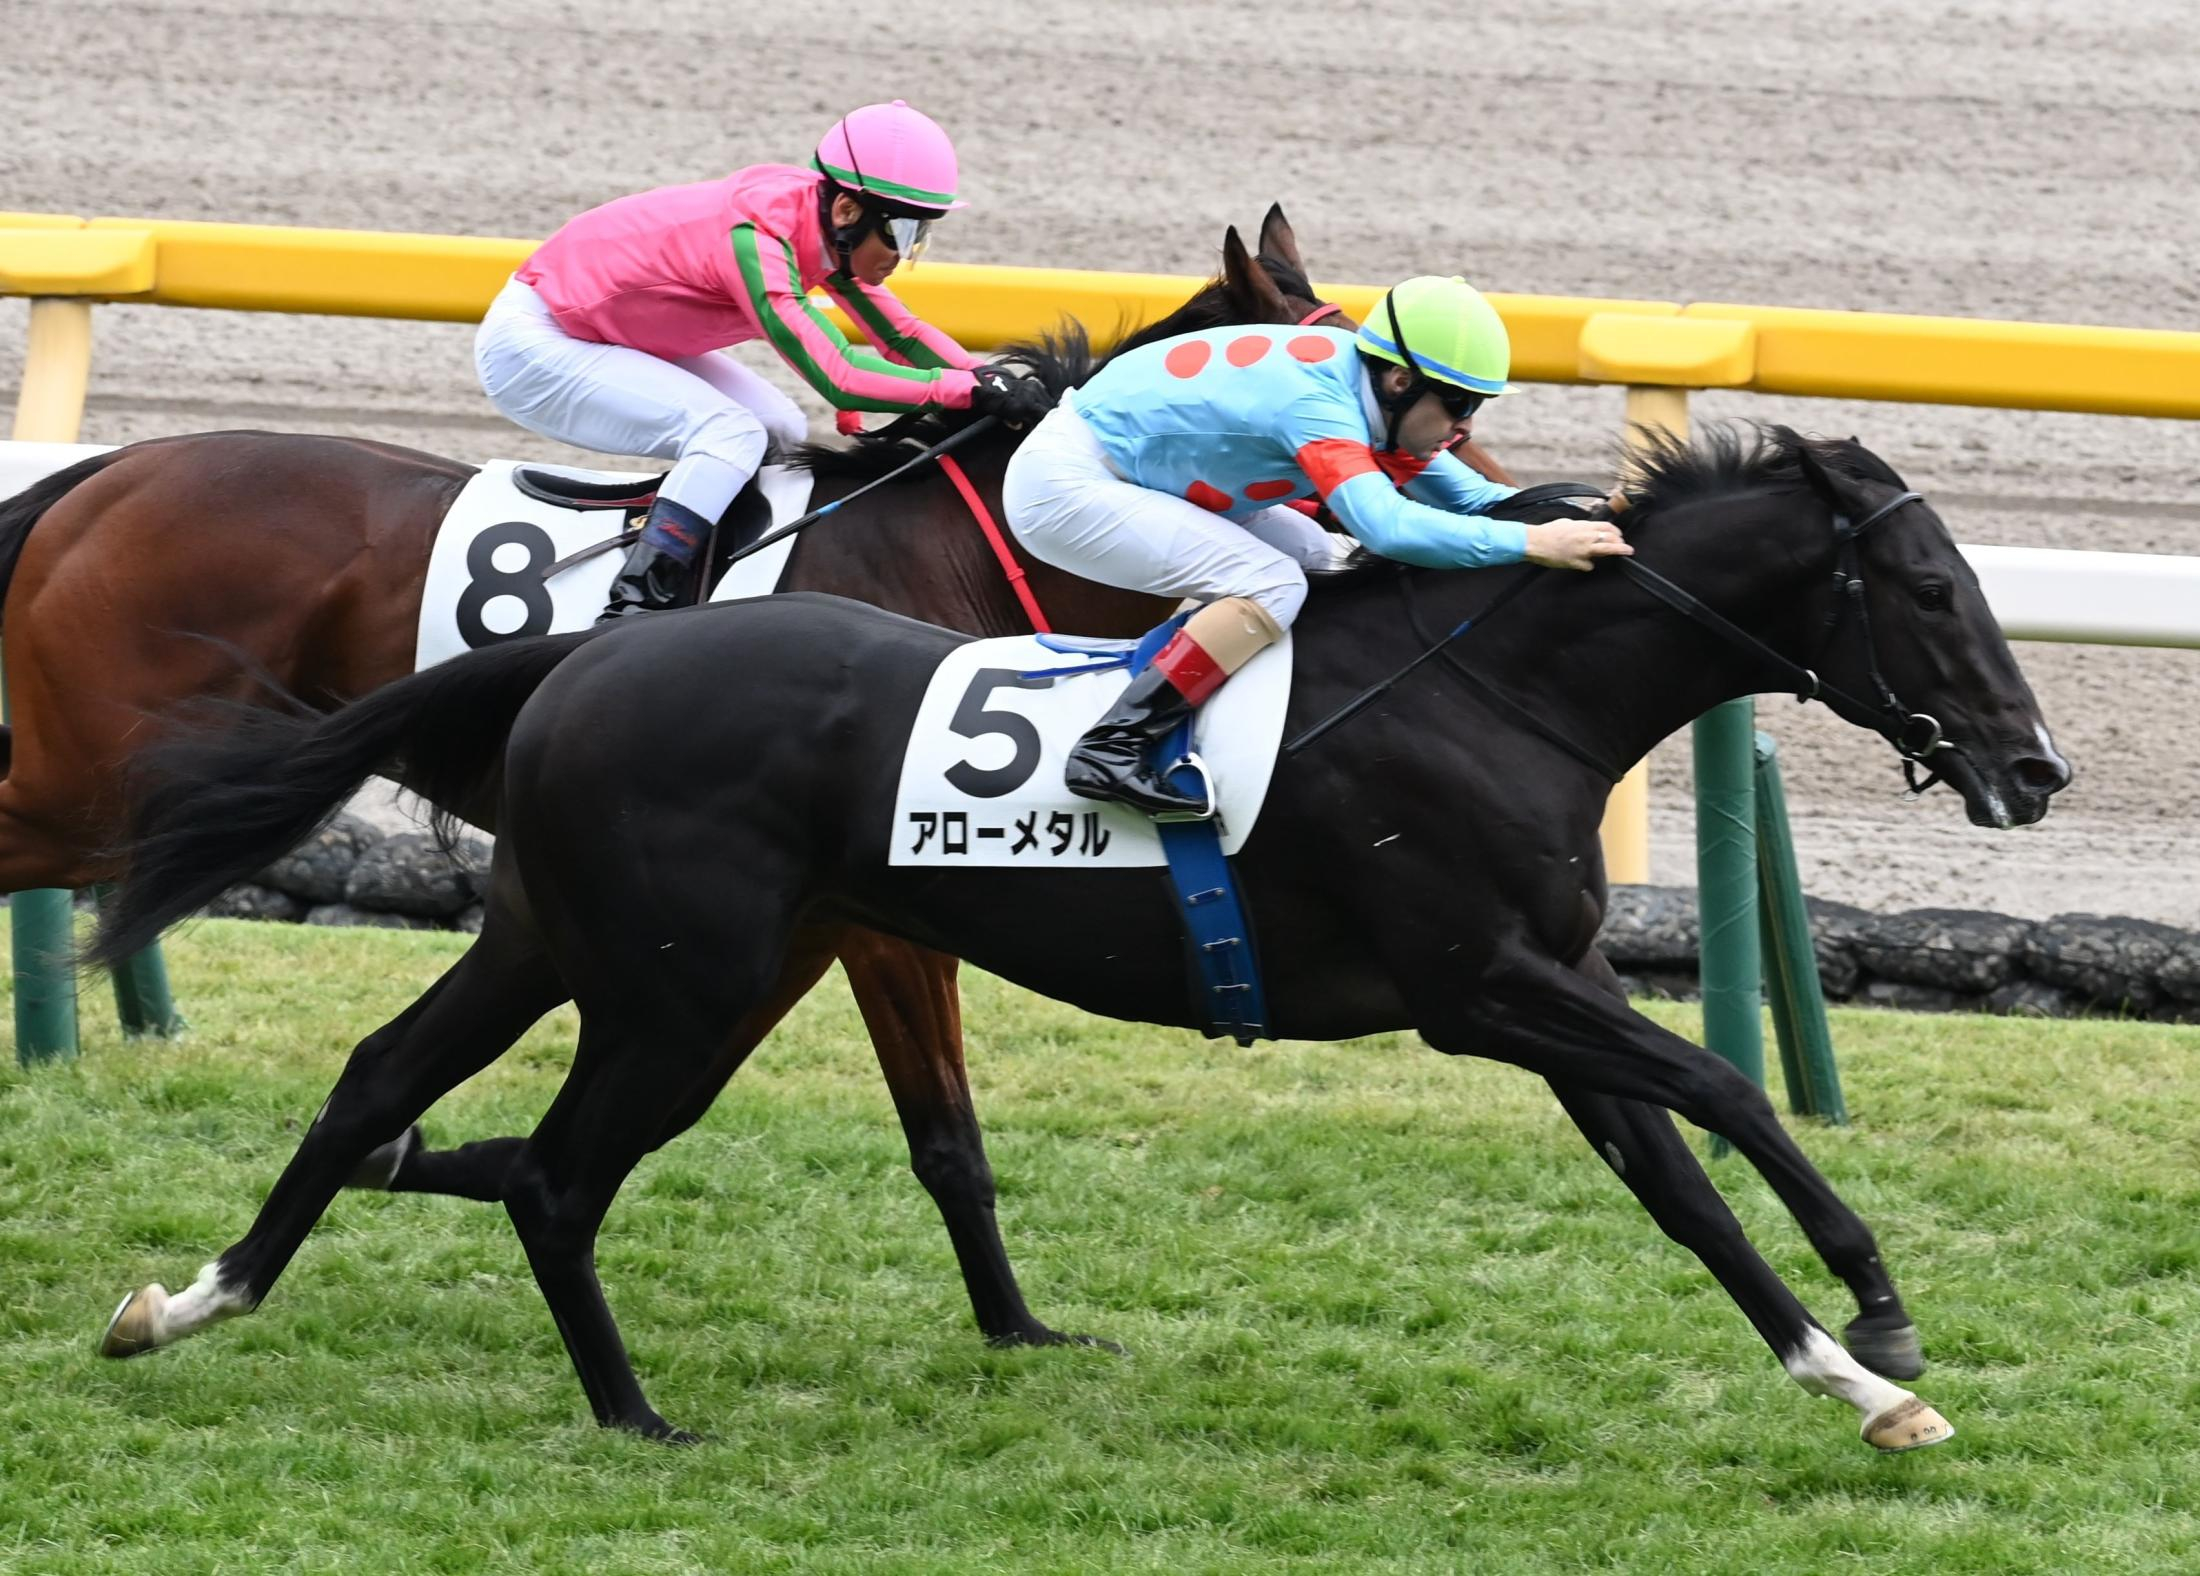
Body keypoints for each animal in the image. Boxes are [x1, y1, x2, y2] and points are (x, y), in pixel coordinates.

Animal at [3, 207, 1376, 1351]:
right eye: (1335, 378)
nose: (1380, 539)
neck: (962, 547)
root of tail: (104, 476)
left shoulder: (800, 918)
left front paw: (1021, 1329)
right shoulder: (872, 915)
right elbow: (936, 1132)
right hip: (87, 784)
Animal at [89, 422, 2071, 1452]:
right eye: (1925, 587)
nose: (2037, 766)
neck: (1501, 691)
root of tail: (590, 650)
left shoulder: (1549, 985)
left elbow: (1677, 1179)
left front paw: (1842, 1375)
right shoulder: (1482, 989)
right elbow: (1725, 1099)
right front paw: (1882, 1313)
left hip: (567, 940)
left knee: (380, 1085)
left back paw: (190, 1298)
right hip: (685, 981)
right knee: (559, 1176)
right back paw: (635, 1414)